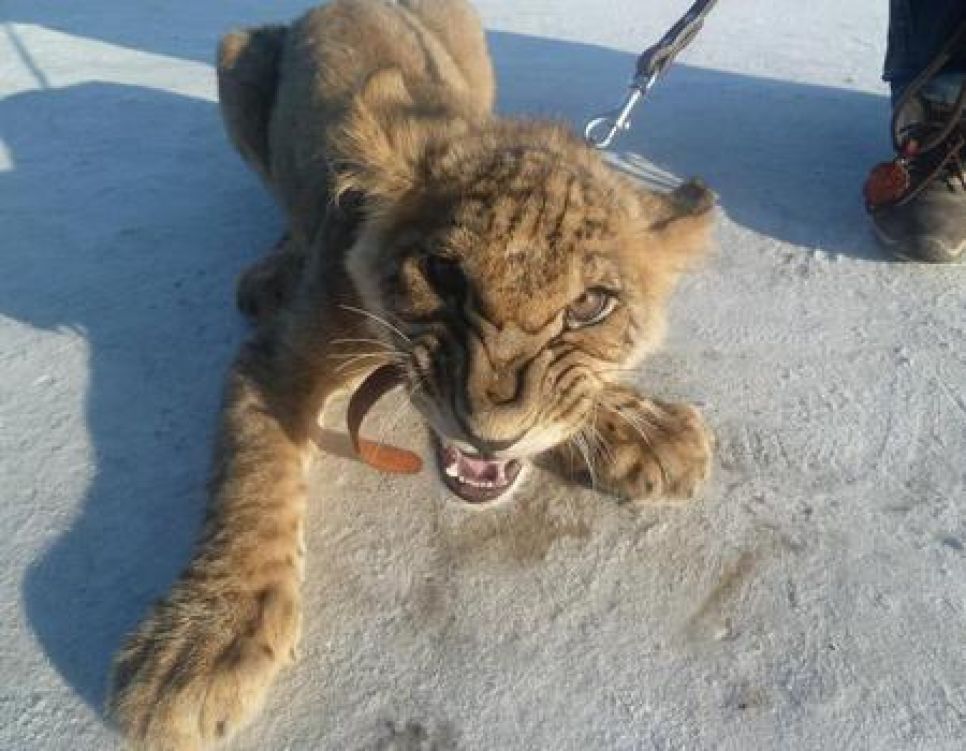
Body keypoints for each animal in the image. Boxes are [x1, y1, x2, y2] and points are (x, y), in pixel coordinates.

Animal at [106, 1, 715, 748]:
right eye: (444, 275)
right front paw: (200, 645)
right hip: (237, 56)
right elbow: (253, 480)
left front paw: (650, 428)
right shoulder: (278, 358)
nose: (490, 432)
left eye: (590, 305)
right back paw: (271, 272)